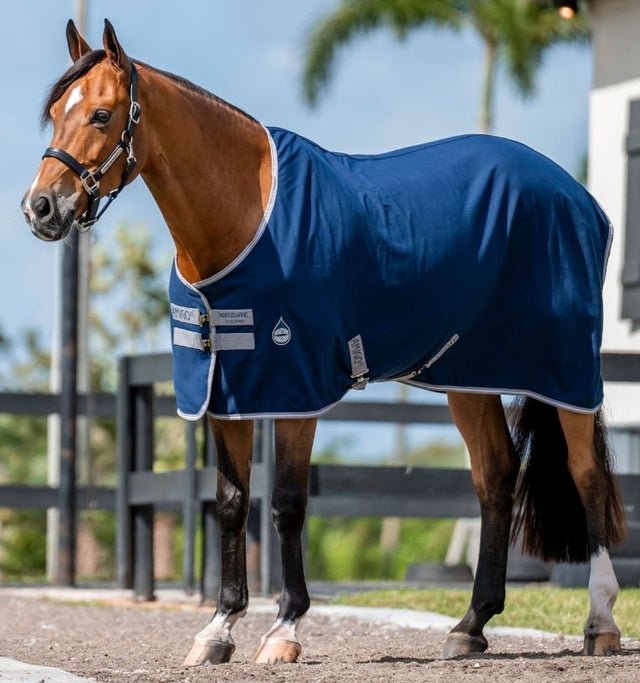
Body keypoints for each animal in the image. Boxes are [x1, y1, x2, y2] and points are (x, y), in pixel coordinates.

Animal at [22, 19, 627, 665]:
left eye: (102, 115)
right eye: (56, 112)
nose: (40, 208)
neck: (244, 215)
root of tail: (578, 196)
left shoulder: (295, 388)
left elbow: (286, 503)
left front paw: (284, 629)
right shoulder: (225, 390)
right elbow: (231, 503)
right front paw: (218, 629)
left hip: (565, 370)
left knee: (586, 475)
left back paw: (600, 623)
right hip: (467, 376)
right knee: (495, 474)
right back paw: (471, 624)